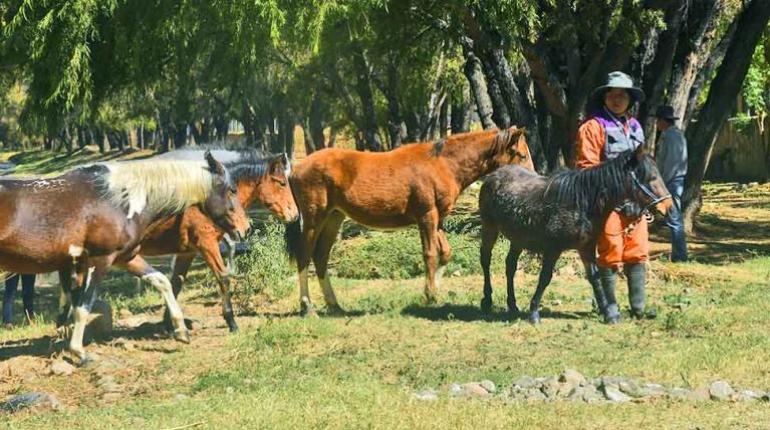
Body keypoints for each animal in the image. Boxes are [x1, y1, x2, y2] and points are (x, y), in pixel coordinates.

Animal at [0, 151, 247, 360]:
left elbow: (162, 281)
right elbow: (84, 305)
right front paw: (78, 352)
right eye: (232, 190)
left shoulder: (125, 258)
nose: (244, 229)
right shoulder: (100, 260)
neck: (120, 200)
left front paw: (181, 330)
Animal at [132, 148, 298, 332]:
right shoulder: (208, 245)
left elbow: (176, 282)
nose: (295, 214)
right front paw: (231, 322)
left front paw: (169, 324)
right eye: (282, 183)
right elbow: (223, 278)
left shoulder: (188, 252)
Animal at [285, 127, 534, 316]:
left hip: (334, 218)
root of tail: (295, 169)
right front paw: (430, 294)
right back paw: (307, 306)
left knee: (320, 257)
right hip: (314, 219)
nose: (532, 178)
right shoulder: (426, 216)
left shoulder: (437, 220)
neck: (442, 164)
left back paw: (334, 305)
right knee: (304, 255)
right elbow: (430, 254)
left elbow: (445, 253)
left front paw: (433, 290)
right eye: (522, 155)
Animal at [478, 146, 672, 324]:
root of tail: (493, 175)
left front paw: (609, 313)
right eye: (651, 178)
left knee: (510, 265)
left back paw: (512, 304)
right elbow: (545, 278)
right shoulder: (553, 249)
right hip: (490, 227)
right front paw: (534, 313)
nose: (668, 208)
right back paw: (487, 300)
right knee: (485, 259)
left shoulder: (586, 247)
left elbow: (595, 278)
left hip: (518, 238)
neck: (582, 203)